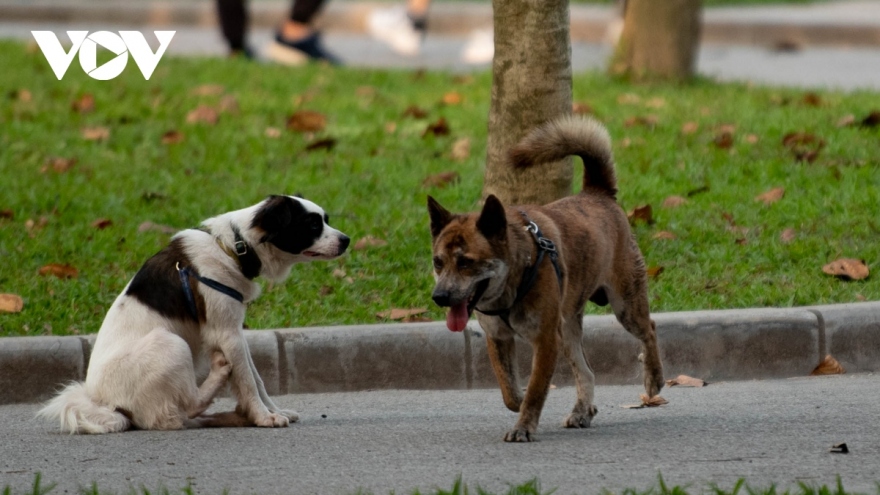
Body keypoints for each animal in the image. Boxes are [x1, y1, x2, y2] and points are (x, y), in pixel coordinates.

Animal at [37, 194, 348, 434]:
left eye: (325, 219)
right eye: (312, 224)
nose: (347, 240)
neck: (234, 247)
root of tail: (103, 404)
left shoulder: (233, 329)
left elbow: (256, 377)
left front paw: (272, 411)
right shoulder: (226, 332)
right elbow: (248, 380)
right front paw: (263, 417)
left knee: (185, 415)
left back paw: (231, 417)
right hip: (171, 343)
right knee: (184, 408)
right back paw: (220, 379)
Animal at [424, 115, 660, 442]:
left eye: (466, 262)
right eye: (438, 262)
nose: (440, 297)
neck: (516, 276)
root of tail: (597, 194)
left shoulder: (546, 340)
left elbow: (537, 388)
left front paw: (524, 426)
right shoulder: (499, 339)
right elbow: (509, 391)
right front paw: (520, 402)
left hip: (626, 304)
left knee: (649, 329)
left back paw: (654, 379)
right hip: (569, 328)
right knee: (586, 371)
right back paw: (583, 410)